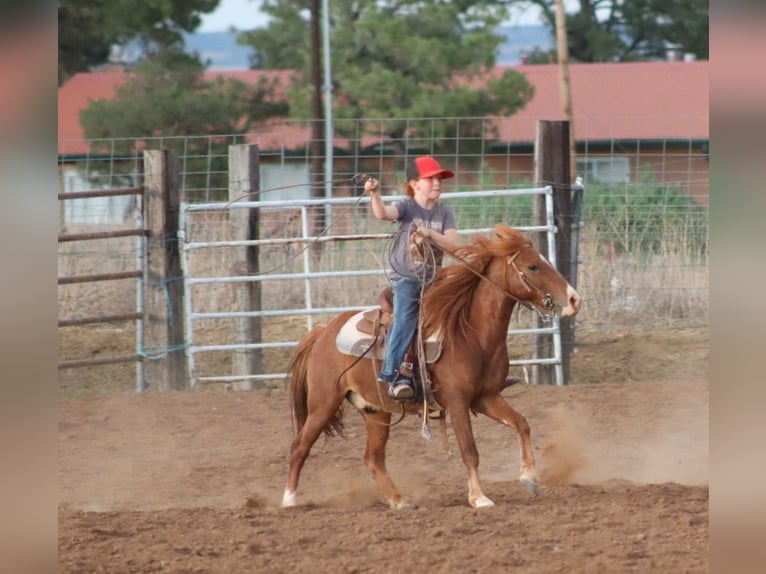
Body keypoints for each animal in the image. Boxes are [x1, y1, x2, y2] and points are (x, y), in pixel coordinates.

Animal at [281, 224, 582, 509]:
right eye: (533, 266)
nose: (574, 299)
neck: (469, 332)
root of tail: (323, 332)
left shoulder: (486, 397)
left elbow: (522, 424)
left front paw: (529, 478)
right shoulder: (457, 402)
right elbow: (469, 450)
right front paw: (479, 498)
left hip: (375, 411)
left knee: (373, 458)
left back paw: (399, 500)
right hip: (323, 403)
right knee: (299, 447)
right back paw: (289, 500)